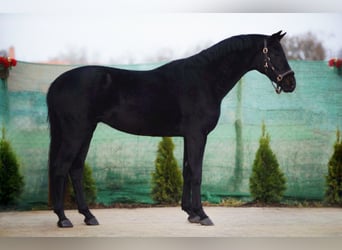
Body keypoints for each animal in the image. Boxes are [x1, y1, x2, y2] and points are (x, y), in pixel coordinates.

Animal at [46, 30, 296, 227]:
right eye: (275, 53)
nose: (290, 83)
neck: (204, 79)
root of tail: (56, 83)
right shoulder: (197, 135)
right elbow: (196, 173)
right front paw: (203, 215)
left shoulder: (188, 136)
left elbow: (187, 171)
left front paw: (191, 213)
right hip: (75, 133)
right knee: (61, 168)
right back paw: (63, 219)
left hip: (86, 132)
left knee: (76, 169)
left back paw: (88, 216)